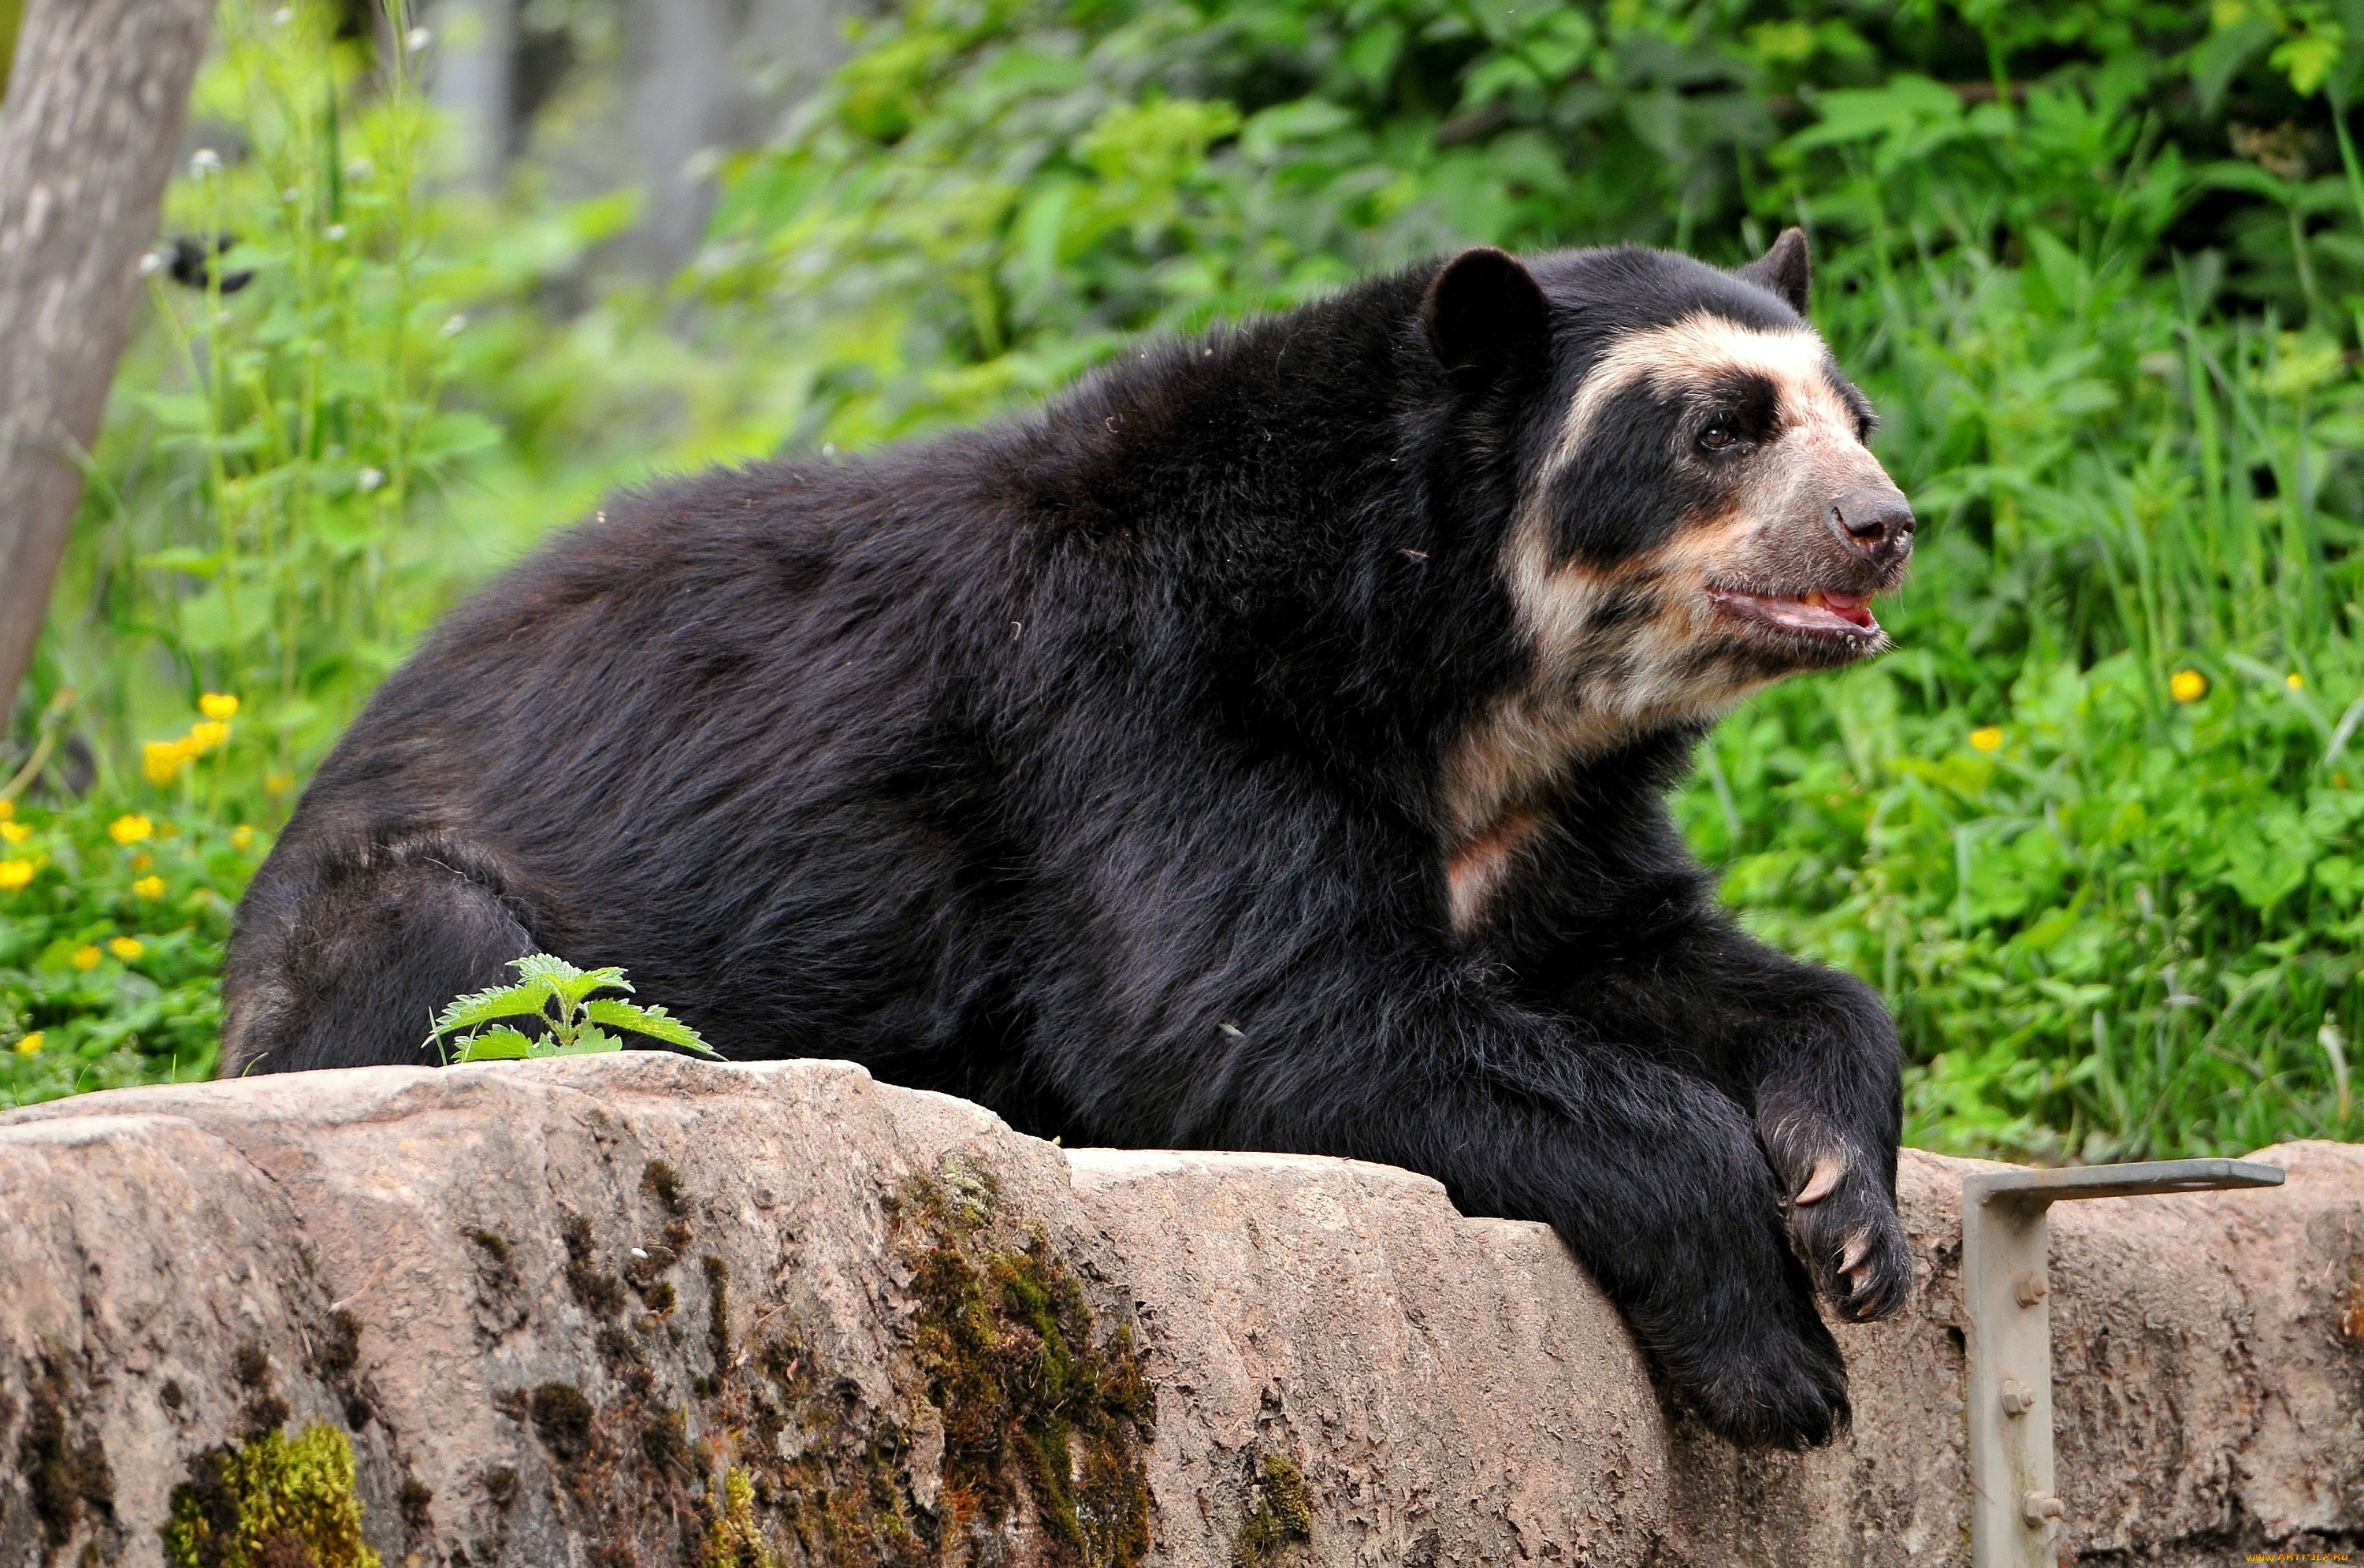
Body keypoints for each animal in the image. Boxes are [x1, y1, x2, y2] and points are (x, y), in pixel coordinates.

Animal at [222, 230, 1920, 1447]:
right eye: (1723, 429)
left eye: (1854, 419)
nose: (1884, 524)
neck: (1461, 676)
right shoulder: (1143, 710)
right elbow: (1253, 1015)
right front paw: (1777, 1360)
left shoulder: (1546, 819)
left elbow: (1669, 958)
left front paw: (1851, 1215)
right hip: (404, 919)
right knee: (452, 963)